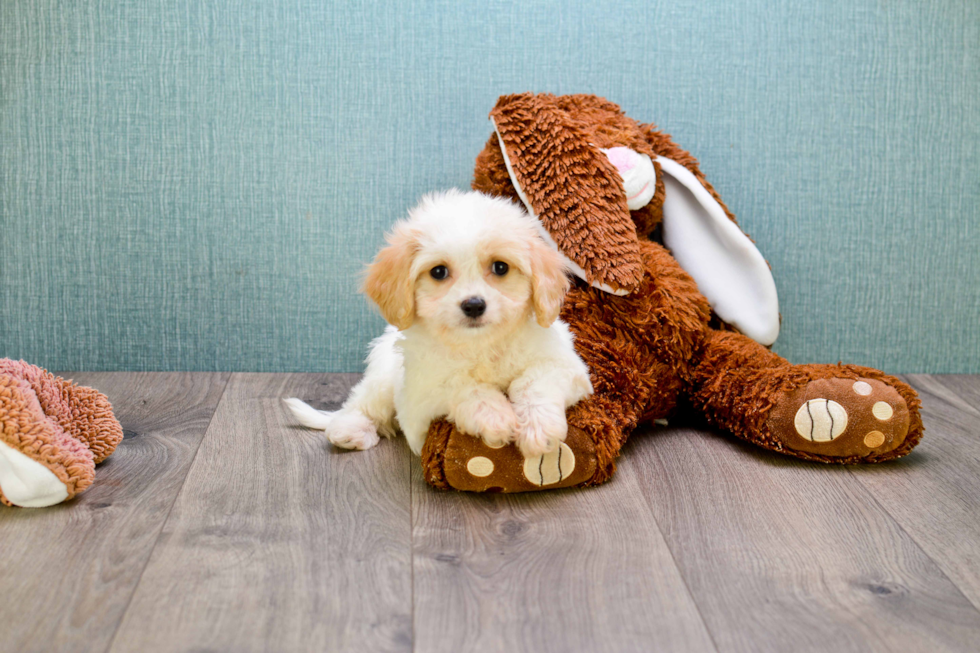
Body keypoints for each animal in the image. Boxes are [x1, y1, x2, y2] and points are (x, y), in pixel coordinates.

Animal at [284, 186, 588, 456]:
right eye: (438, 272)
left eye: (500, 267)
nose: (474, 305)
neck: (479, 345)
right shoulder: (419, 395)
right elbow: (461, 386)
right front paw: (496, 417)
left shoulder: (566, 367)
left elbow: (533, 381)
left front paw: (540, 430)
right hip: (382, 378)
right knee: (360, 404)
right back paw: (350, 430)